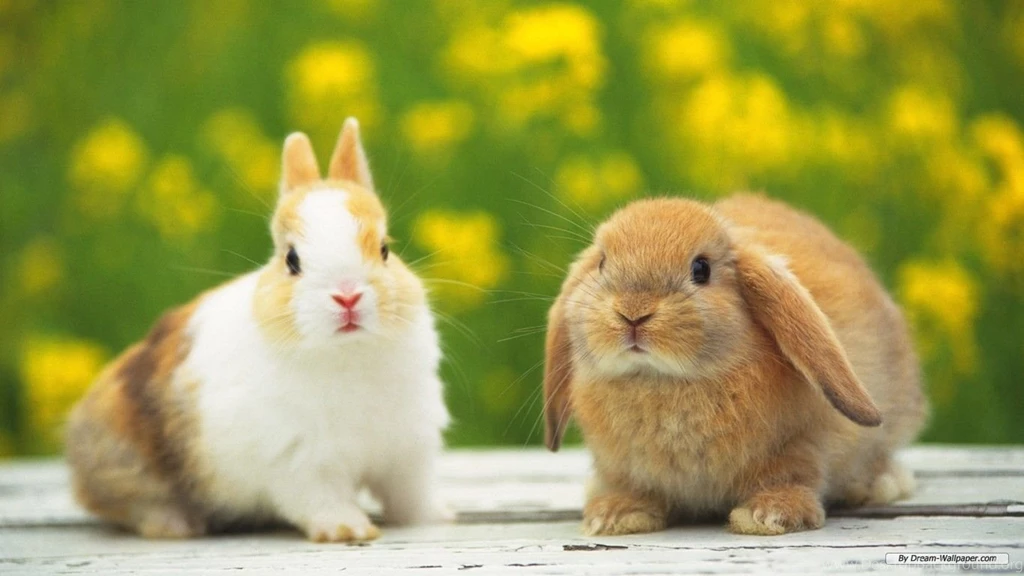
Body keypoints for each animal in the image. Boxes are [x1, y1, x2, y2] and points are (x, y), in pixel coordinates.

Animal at [65, 118, 450, 542]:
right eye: (292, 260)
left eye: (384, 249)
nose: (347, 296)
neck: (348, 353)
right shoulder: (300, 461)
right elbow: (323, 500)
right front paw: (348, 530)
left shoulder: (407, 451)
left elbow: (409, 494)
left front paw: (435, 518)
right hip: (125, 455)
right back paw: (176, 524)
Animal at [542, 194, 928, 536]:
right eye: (602, 263)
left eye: (701, 269)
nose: (633, 313)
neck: (662, 380)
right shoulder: (623, 466)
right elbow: (631, 487)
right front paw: (615, 516)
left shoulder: (800, 444)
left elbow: (792, 475)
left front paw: (771, 516)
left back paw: (879, 485)